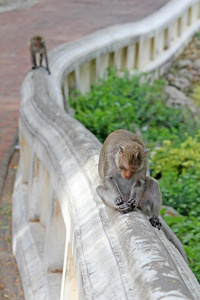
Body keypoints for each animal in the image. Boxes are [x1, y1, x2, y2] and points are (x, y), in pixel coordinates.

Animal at [96, 129, 188, 262]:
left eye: (133, 170)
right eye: (124, 168)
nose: (127, 176)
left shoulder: (144, 163)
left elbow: (140, 181)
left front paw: (133, 201)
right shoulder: (110, 158)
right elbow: (108, 178)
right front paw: (117, 197)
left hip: (142, 201)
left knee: (152, 183)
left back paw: (149, 215)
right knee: (99, 189)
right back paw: (122, 207)